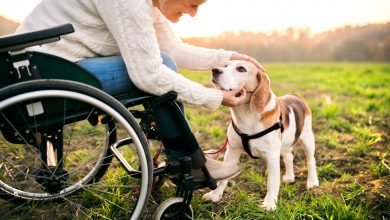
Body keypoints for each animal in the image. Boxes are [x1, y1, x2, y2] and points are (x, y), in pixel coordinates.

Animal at [203, 60, 318, 211]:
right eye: (225, 65)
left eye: (241, 69)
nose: (214, 70)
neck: (247, 114)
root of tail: (295, 95)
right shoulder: (232, 150)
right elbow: (223, 177)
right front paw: (215, 195)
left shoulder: (272, 156)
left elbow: (272, 182)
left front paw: (269, 204)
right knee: (289, 157)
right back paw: (289, 177)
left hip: (307, 138)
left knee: (311, 160)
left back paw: (312, 182)